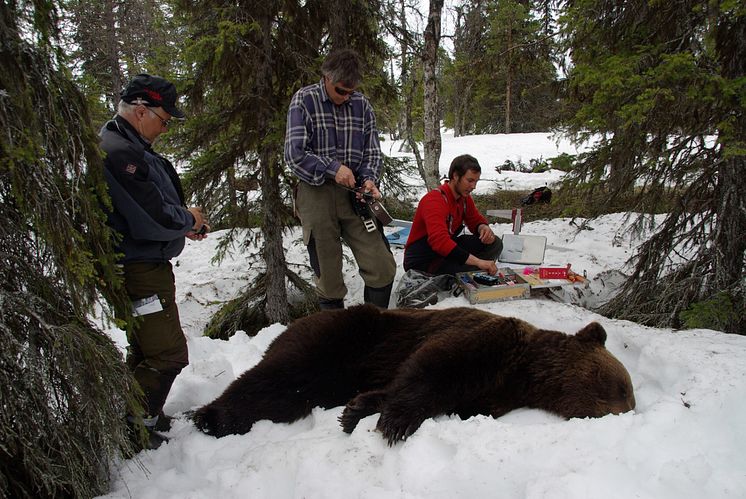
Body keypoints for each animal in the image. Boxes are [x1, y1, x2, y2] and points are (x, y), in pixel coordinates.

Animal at [193, 302, 632, 444]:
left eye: (626, 395)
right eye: (616, 386)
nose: (623, 412)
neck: (523, 373)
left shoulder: (488, 395)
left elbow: (440, 394)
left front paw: (359, 410)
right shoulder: (484, 341)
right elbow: (430, 368)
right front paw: (394, 423)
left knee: (287, 396)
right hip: (341, 338)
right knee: (277, 378)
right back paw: (209, 417)